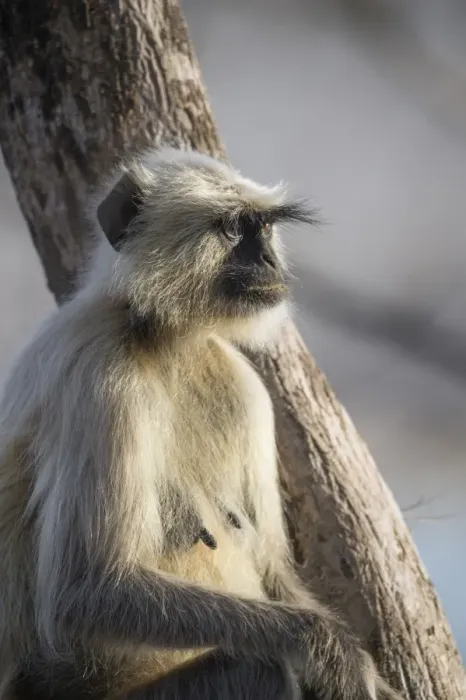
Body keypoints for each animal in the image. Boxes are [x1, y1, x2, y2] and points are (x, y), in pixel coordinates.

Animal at [0, 147, 402, 700]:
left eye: (264, 229)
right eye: (233, 229)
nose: (268, 261)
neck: (164, 339)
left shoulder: (245, 387)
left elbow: (272, 568)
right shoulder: (97, 371)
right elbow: (86, 589)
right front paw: (330, 649)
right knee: (264, 669)